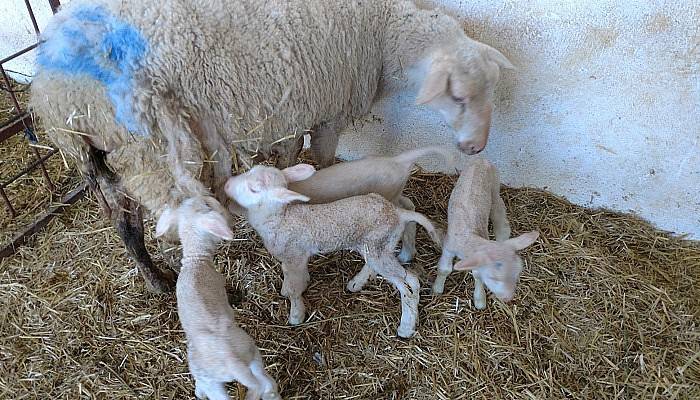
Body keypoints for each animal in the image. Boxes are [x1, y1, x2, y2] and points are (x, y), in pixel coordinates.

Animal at [30, 0, 516, 294]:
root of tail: (53, 87)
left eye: (492, 88)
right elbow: (320, 161)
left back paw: (156, 280)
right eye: (458, 95)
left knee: (124, 223)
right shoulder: (325, 110)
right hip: (150, 148)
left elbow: (286, 159)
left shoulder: (289, 113)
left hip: (107, 157)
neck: (380, 31)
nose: (477, 147)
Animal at [157, 198, 282, 400]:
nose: (213, 200)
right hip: (250, 354)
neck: (195, 259)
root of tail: (230, 360)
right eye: (208, 205)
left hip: (229, 370)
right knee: (264, 384)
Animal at [224, 164, 442, 340]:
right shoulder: (295, 257)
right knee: (379, 267)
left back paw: (406, 326)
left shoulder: (294, 255)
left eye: (254, 189)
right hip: (377, 245)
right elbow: (293, 277)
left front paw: (296, 315)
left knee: (410, 283)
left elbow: (295, 289)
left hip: (379, 247)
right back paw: (356, 283)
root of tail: (398, 213)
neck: (281, 218)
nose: (226, 185)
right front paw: (291, 288)